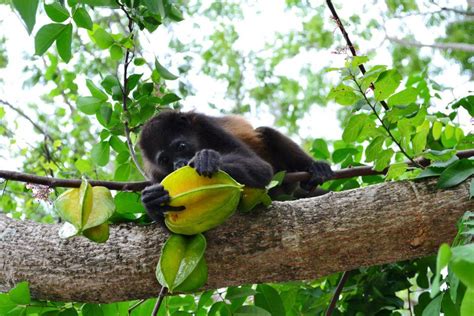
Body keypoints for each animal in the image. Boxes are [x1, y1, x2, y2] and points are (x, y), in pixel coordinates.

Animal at [140, 111, 334, 222]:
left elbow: (261, 168)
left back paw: (316, 169)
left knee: (266, 132)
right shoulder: (155, 173)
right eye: (165, 160)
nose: (178, 164)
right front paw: (152, 200)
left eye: (180, 146)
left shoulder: (206, 125)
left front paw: (207, 159)